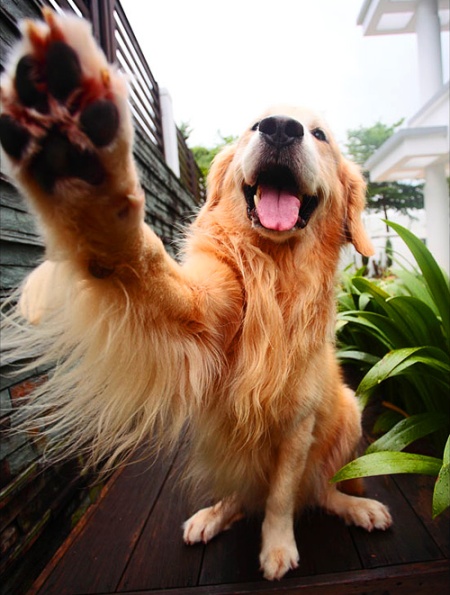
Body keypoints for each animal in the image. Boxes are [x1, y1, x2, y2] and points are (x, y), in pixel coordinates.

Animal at [0, 10, 392, 584]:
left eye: (319, 134)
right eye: (256, 123)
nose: (281, 128)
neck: (274, 271)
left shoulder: (297, 423)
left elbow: (281, 497)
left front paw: (277, 546)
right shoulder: (196, 316)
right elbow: (139, 263)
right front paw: (83, 172)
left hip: (347, 410)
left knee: (317, 488)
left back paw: (356, 506)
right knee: (241, 493)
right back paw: (215, 514)